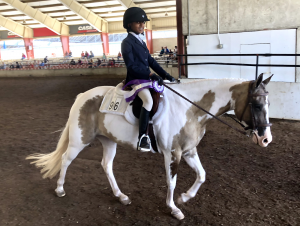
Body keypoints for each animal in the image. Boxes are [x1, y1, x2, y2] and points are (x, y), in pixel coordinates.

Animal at [27, 73, 274, 220]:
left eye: (268, 103)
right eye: (257, 104)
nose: (265, 140)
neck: (190, 109)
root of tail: (82, 96)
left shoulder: (189, 151)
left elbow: (202, 175)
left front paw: (184, 198)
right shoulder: (172, 153)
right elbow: (171, 181)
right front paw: (174, 208)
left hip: (108, 140)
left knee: (106, 165)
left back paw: (121, 196)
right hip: (80, 139)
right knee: (66, 160)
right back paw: (60, 189)